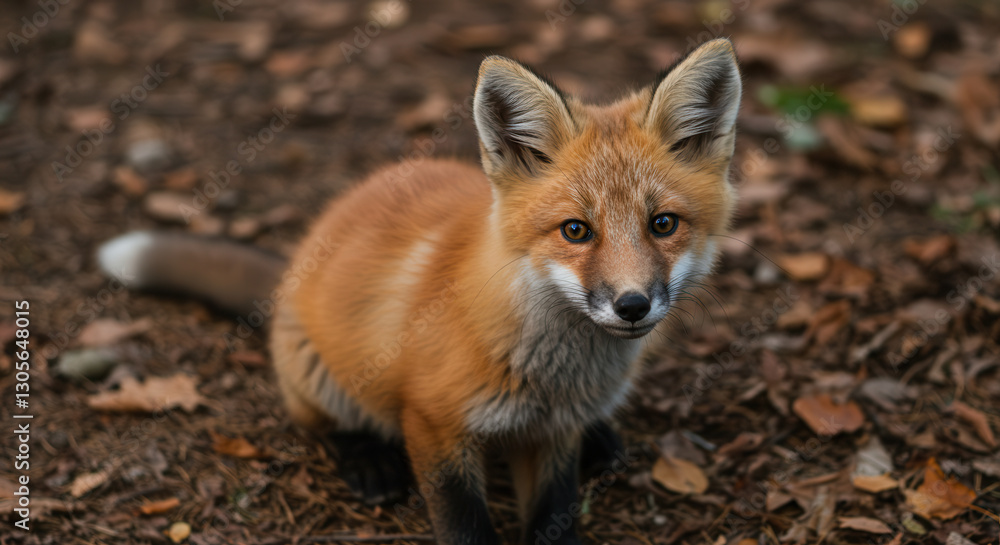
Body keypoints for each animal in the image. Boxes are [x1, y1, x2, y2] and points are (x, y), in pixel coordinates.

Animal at [97, 38, 741, 545]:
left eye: (663, 224)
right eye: (576, 231)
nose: (632, 305)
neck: (552, 376)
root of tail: (301, 257)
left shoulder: (555, 434)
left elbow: (555, 519)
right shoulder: (432, 423)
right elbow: (464, 526)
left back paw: (604, 439)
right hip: (317, 377)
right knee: (330, 426)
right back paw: (370, 464)